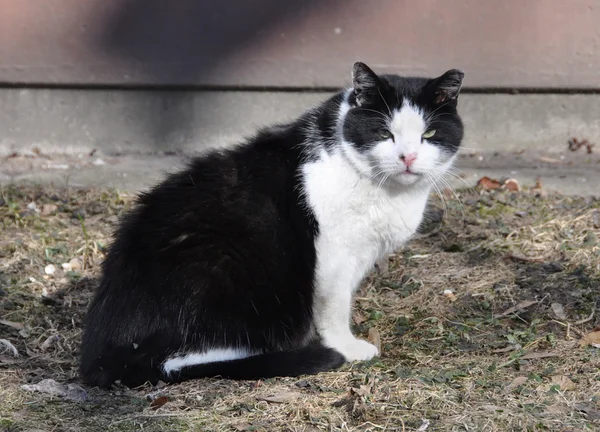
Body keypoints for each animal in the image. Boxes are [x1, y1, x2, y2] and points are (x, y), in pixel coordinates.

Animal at [79, 61, 464, 388]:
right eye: (384, 133)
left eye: (430, 133)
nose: (408, 157)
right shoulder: (333, 257)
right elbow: (333, 306)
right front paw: (346, 347)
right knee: (178, 361)